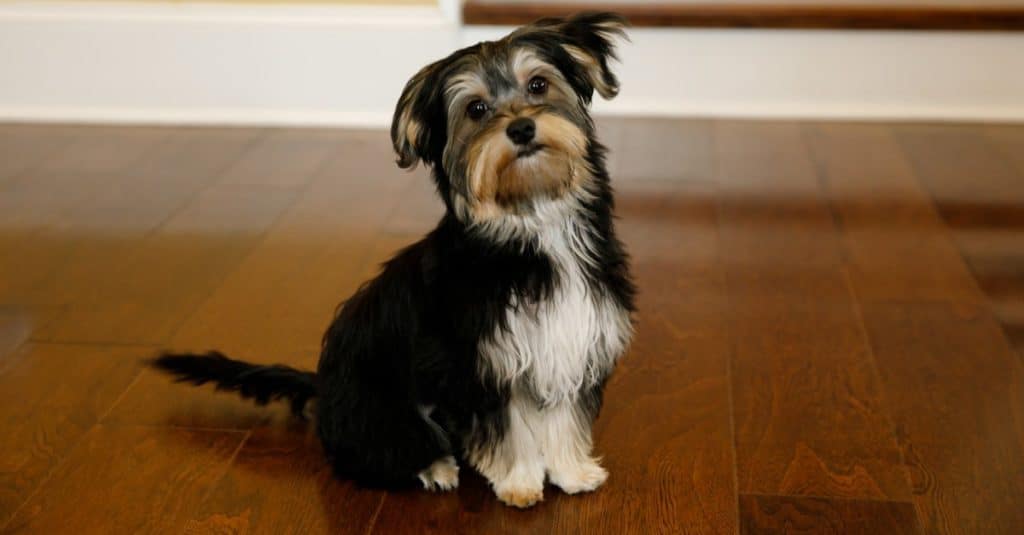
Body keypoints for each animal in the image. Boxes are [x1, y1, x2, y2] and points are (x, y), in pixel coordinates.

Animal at [150, 10, 630, 506]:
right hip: (383, 406)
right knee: (378, 449)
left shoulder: (571, 338)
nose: (520, 129)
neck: (532, 222)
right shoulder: (482, 364)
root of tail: (325, 388)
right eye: (476, 110)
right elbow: (507, 429)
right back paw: (435, 466)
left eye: (538, 85)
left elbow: (564, 418)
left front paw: (572, 471)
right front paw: (519, 483)